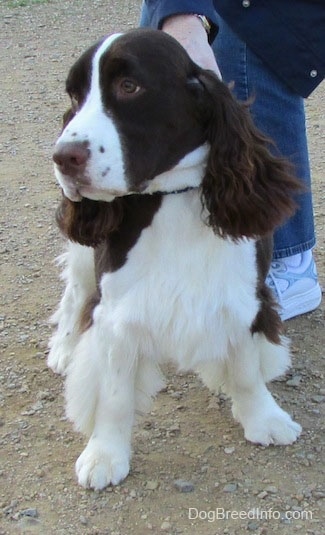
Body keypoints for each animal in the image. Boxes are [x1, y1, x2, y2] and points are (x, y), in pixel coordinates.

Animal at [48, 28, 302, 490]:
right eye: (75, 96)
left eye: (129, 86)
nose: (63, 157)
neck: (171, 196)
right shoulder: (115, 312)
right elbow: (114, 395)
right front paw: (104, 455)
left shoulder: (242, 297)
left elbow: (246, 369)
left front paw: (264, 419)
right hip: (83, 255)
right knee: (75, 293)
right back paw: (64, 348)